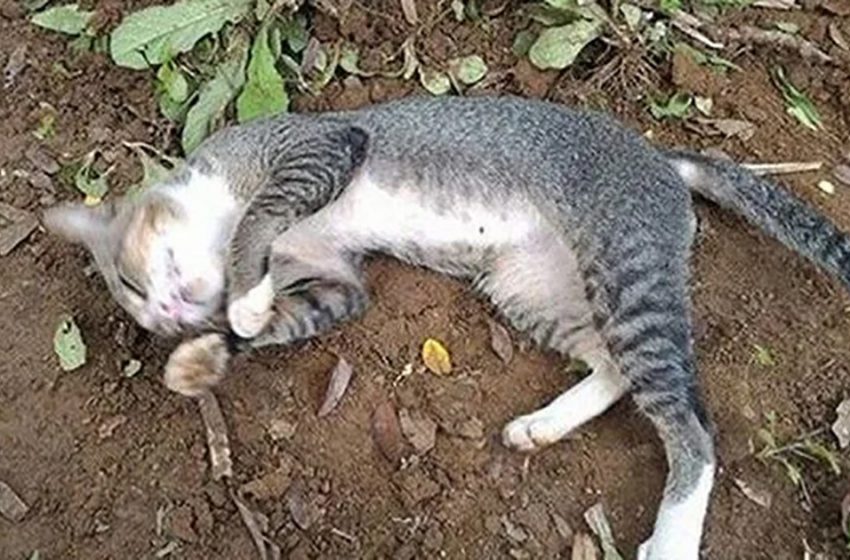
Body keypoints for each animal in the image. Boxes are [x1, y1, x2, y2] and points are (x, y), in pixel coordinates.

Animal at [43, 96, 848, 560]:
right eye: (137, 307)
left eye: (130, 283)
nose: (164, 316)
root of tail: (661, 156)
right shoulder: (340, 282)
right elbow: (288, 316)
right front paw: (207, 355)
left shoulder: (321, 146)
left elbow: (260, 220)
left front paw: (240, 298)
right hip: (531, 285)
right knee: (615, 370)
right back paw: (541, 427)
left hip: (627, 271)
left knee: (693, 425)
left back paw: (674, 536)